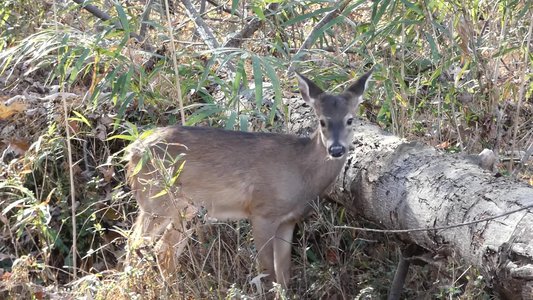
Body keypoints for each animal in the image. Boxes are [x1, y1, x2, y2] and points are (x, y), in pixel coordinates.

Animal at [126, 69, 372, 288]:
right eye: (322, 121)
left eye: (350, 120)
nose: (336, 149)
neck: (301, 172)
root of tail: (133, 151)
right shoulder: (262, 211)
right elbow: (268, 272)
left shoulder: (289, 220)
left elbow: (284, 274)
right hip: (154, 198)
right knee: (134, 242)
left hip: (186, 208)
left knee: (163, 248)